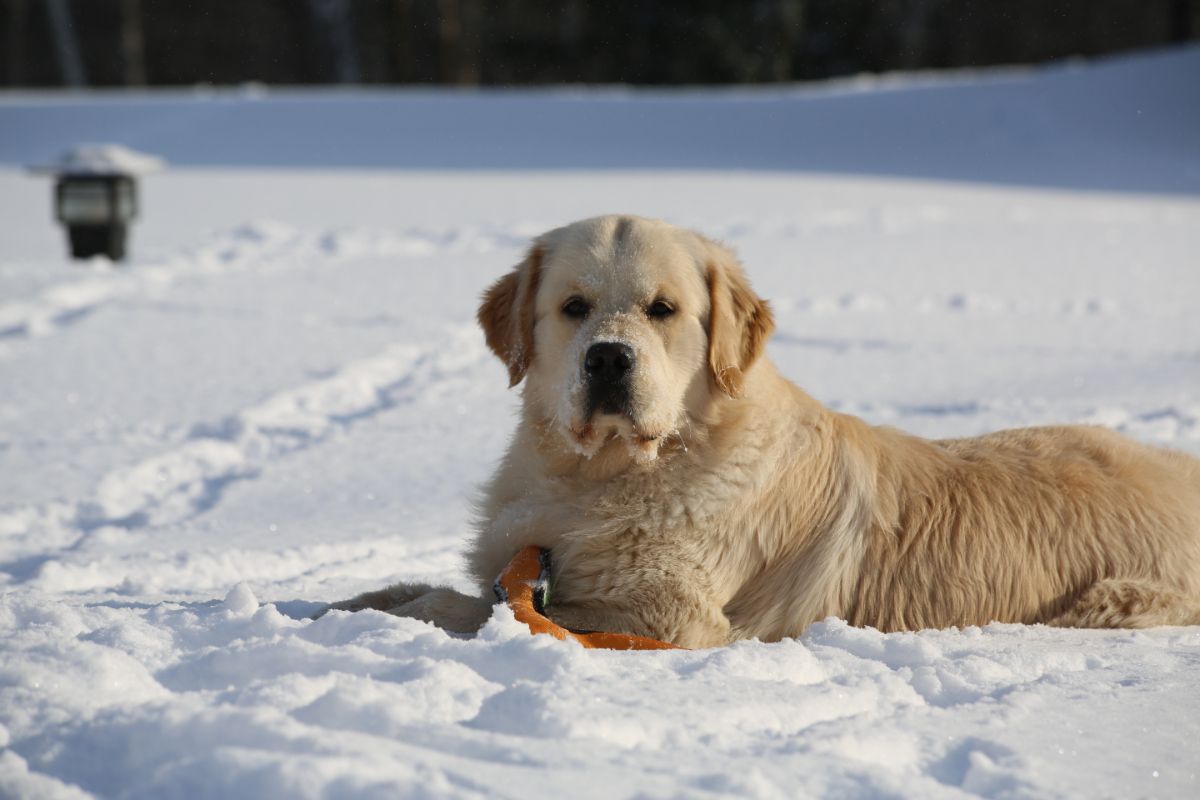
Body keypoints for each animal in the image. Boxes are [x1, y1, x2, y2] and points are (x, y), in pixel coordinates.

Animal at [328, 214, 1200, 652]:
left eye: (664, 309)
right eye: (574, 307)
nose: (608, 359)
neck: (611, 475)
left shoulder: (673, 617)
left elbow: (472, 607)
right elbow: (413, 589)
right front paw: (333, 605)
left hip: (1114, 602)